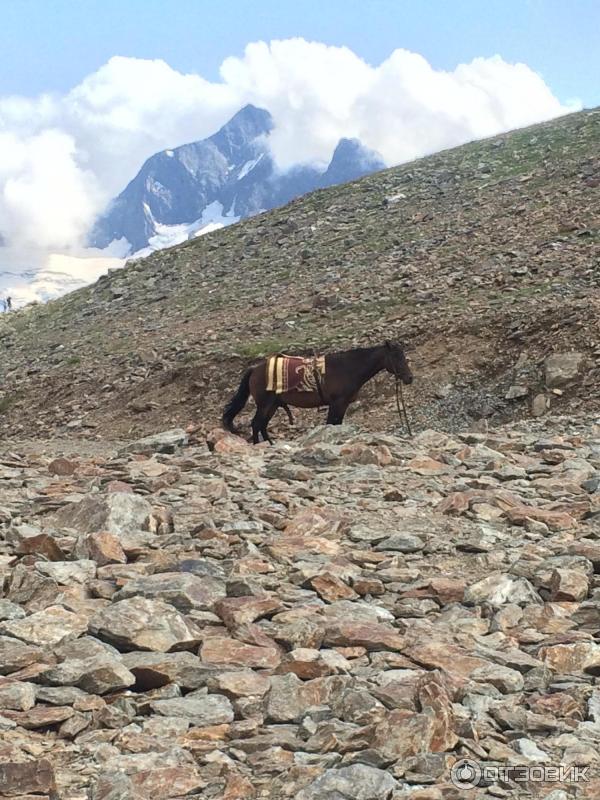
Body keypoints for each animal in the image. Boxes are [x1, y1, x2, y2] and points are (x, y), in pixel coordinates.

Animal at [223, 340, 414, 444]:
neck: (347, 368)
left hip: (273, 405)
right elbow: (331, 424)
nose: (409, 378)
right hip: (265, 404)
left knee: (262, 425)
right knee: (256, 424)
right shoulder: (337, 403)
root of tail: (254, 369)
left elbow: (337, 424)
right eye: (396, 356)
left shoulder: (342, 405)